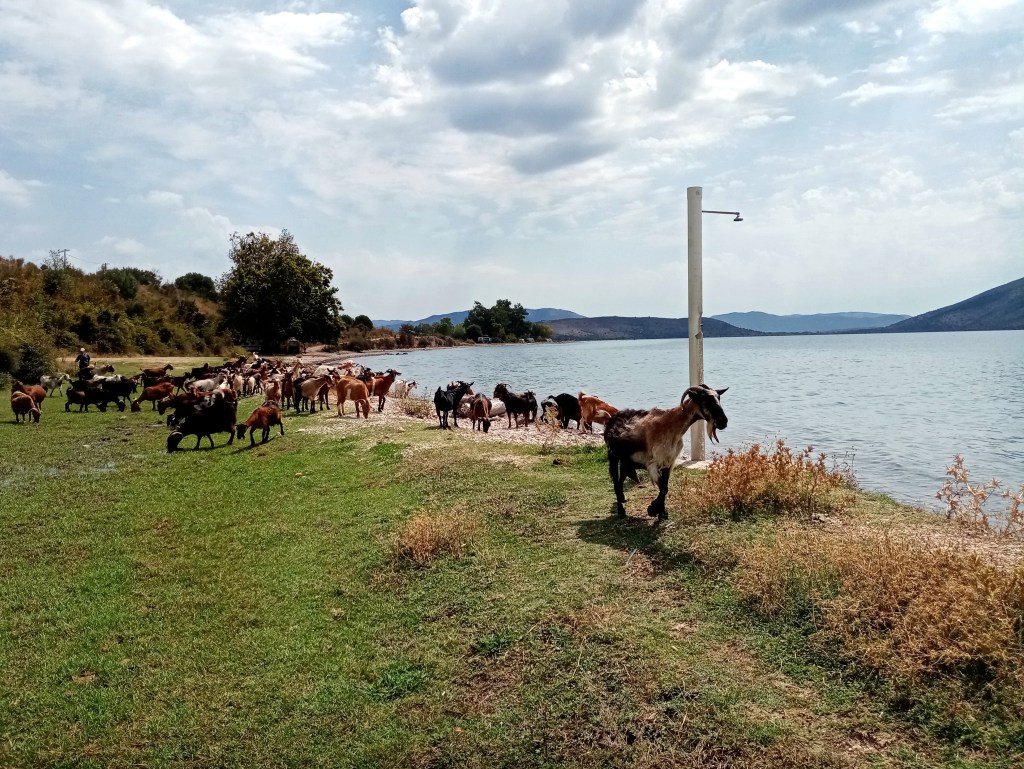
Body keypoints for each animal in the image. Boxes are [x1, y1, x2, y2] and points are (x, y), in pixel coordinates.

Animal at [604, 384, 729, 520]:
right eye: (705, 400)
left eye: (718, 398)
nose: (723, 422)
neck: (672, 426)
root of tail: (613, 418)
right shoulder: (653, 463)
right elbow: (663, 488)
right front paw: (653, 509)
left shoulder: (669, 462)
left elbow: (665, 487)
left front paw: (661, 512)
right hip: (613, 456)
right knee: (616, 482)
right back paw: (621, 511)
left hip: (626, 460)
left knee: (621, 480)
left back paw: (622, 500)